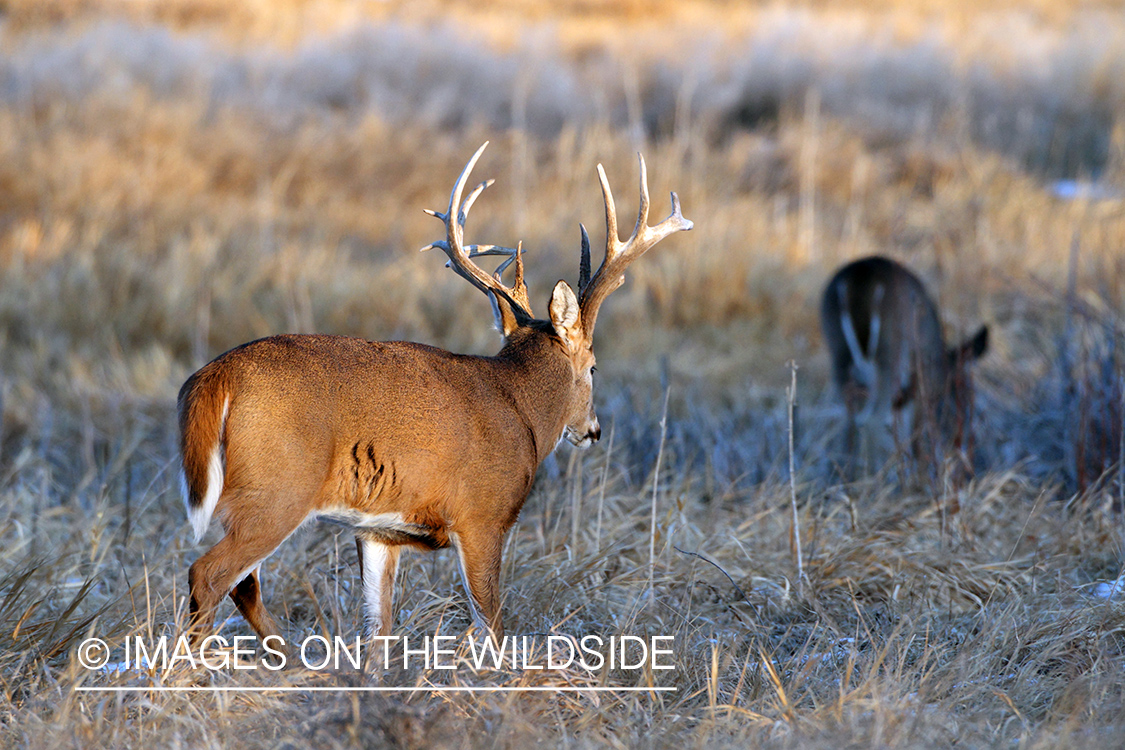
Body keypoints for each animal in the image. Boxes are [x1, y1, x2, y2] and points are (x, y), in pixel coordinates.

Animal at [176, 142, 688, 647]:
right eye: (594, 367)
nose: (594, 430)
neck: (520, 407)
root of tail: (216, 375)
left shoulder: (379, 531)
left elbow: (378, 628)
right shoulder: (482, 514)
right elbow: (492, 624)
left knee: (243, 584)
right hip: (277, 489)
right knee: (210, 574)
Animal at [823, 255, 990, 479]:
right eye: (965, 391)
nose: (962, 436)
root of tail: (860, 276)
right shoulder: (922, 384)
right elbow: (917, 435)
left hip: (839, 354)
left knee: (848, 422)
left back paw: (846, 479)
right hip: (890, 353)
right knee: (870, 420)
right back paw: (875, 482)